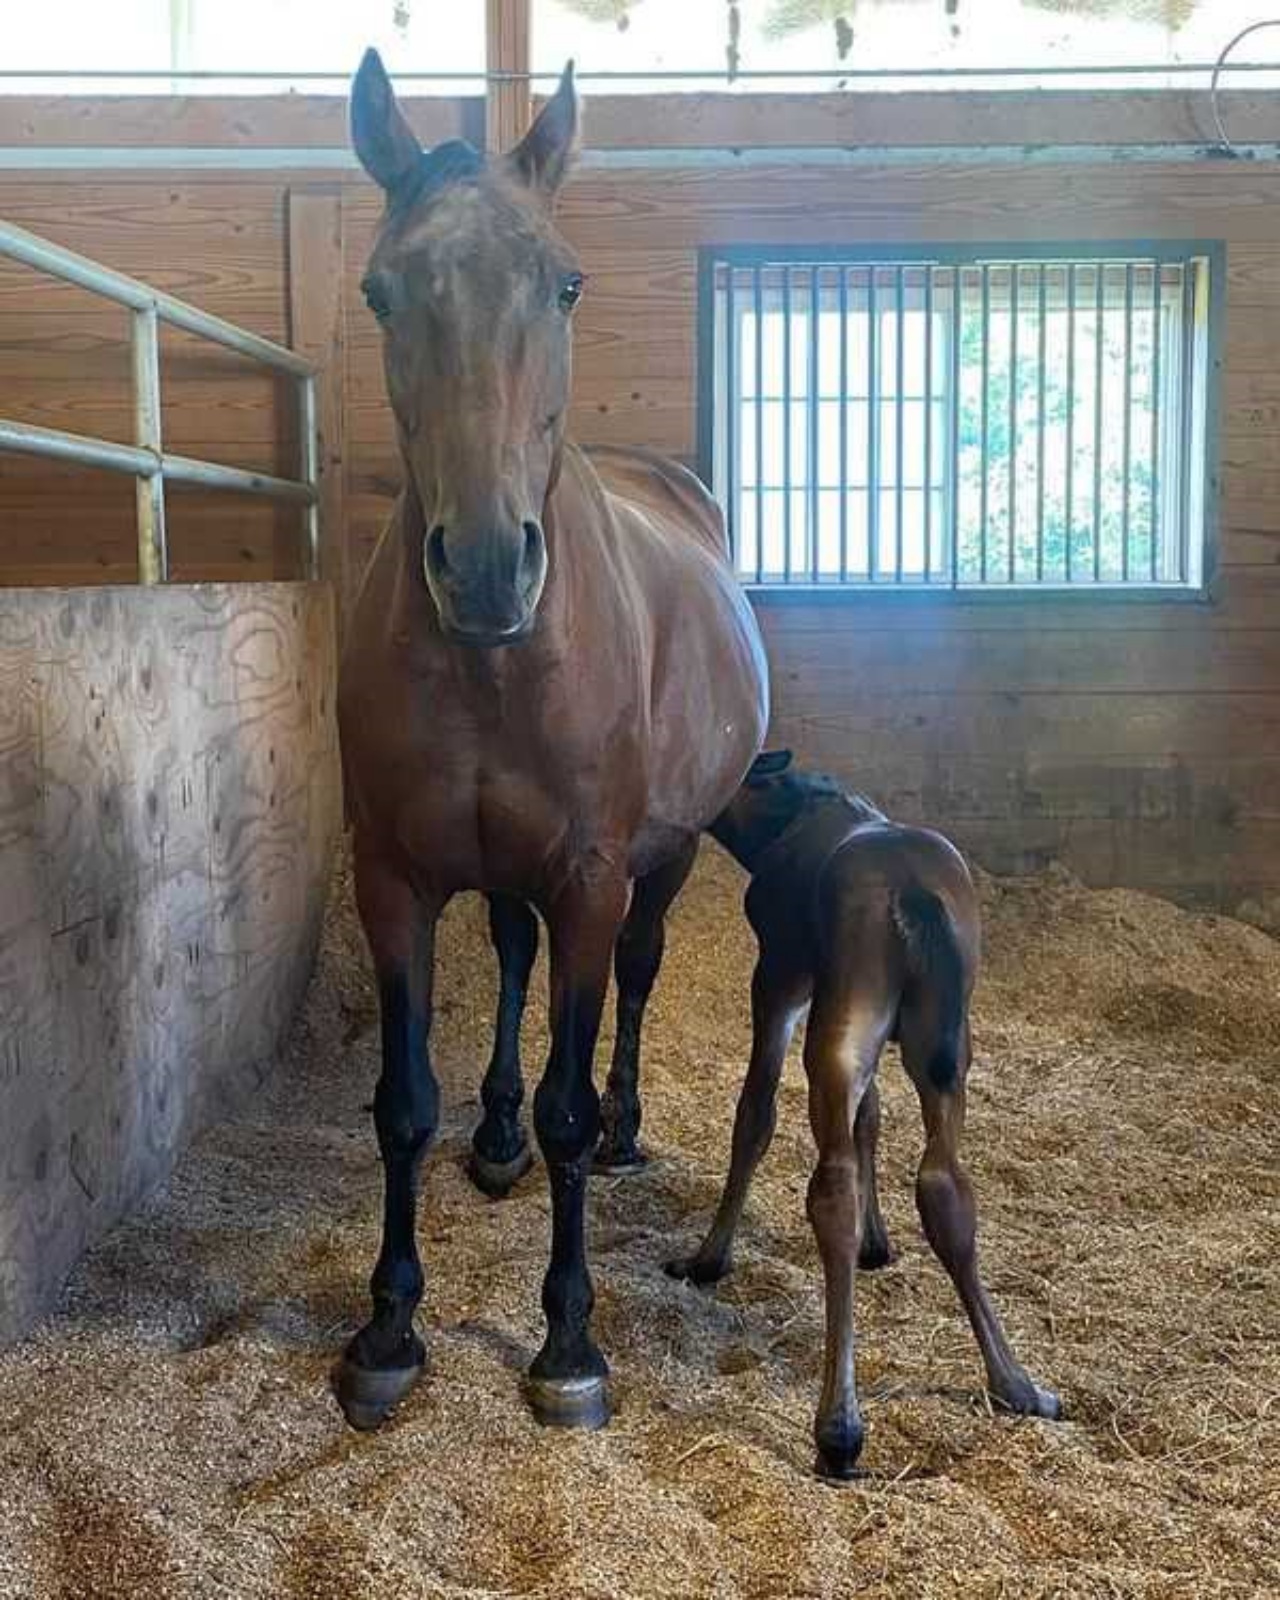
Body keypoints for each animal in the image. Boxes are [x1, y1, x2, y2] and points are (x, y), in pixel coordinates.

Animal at [334, 50, 764, 1433]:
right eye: (380, 290)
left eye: (564, 282)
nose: (481, 567)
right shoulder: (394, 879)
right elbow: (400, 1103)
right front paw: (387, 1326)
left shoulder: (587, 872)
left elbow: (574, 1097)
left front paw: (569, 1339)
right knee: (516, 965)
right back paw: (495, 1134)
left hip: (662, 860)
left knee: (630, 979)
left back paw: (623, 1123)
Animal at [668, 755, 1062, 1478]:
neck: (783, 817)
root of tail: (913, 897)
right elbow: (872, 1120)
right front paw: (881, 1244)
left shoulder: (779, 977)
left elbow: (755, 1112)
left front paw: (707, 1258)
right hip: (944, 1048)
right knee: (945, 1185)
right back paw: (1016, 1384)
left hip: (839, 1024)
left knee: (833, 1189)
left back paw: (839, 1427)